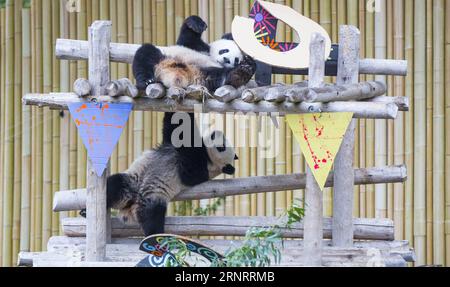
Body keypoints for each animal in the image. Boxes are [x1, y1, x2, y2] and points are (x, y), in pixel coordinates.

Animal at [107, 130, 237, 236]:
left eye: (222, 147)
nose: (217, 132)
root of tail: (131, 206)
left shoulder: (201, 170)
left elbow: (189, 169)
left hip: (154, 196)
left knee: (152, 216)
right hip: (131, 181)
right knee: (114, 186)